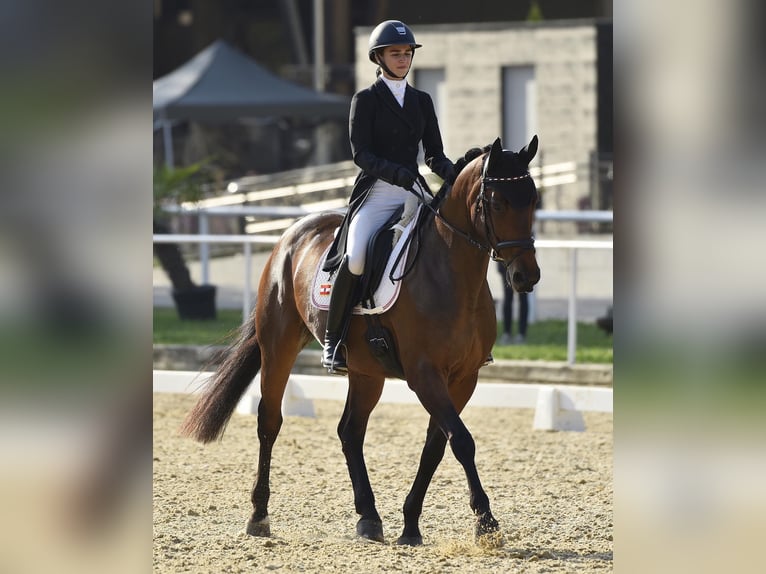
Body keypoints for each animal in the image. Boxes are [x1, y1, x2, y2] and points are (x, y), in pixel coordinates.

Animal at [181, 136, 544, 548]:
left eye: (533, 199)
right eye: (497, 203)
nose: (526, 276)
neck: (451, 276)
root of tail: (295, 231)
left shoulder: (464, 378)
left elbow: (436, 446)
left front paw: (411, 525)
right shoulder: (424, 374)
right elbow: (462, 441)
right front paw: (486, 523)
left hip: (366, 371)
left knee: (350, 431)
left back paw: (369, 518)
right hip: (279, 346)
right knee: (269, 421)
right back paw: (259, 515)